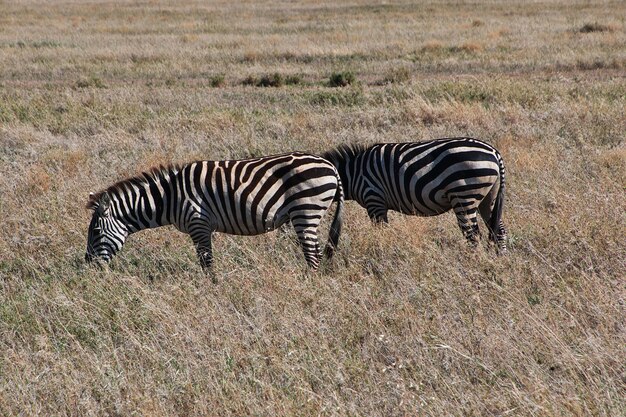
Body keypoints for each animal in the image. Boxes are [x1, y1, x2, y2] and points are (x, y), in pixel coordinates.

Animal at [84, 151, 342, 272]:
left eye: (95, 232)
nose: (87, 266)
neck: (169, 197)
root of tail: (330, 166)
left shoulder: (198, 224)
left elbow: (206, 262)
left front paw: (212, 287)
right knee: (317, 252)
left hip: (306, 211)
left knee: (313, 255)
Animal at [322, 138, 508, 252]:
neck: (354, 174)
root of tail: (494, 152)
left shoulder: (374, 200)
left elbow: (382, 232)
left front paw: (381, 251)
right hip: (488, 198)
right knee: (499, 230)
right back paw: (499, 259)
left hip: (464, 196)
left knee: (473, 235)